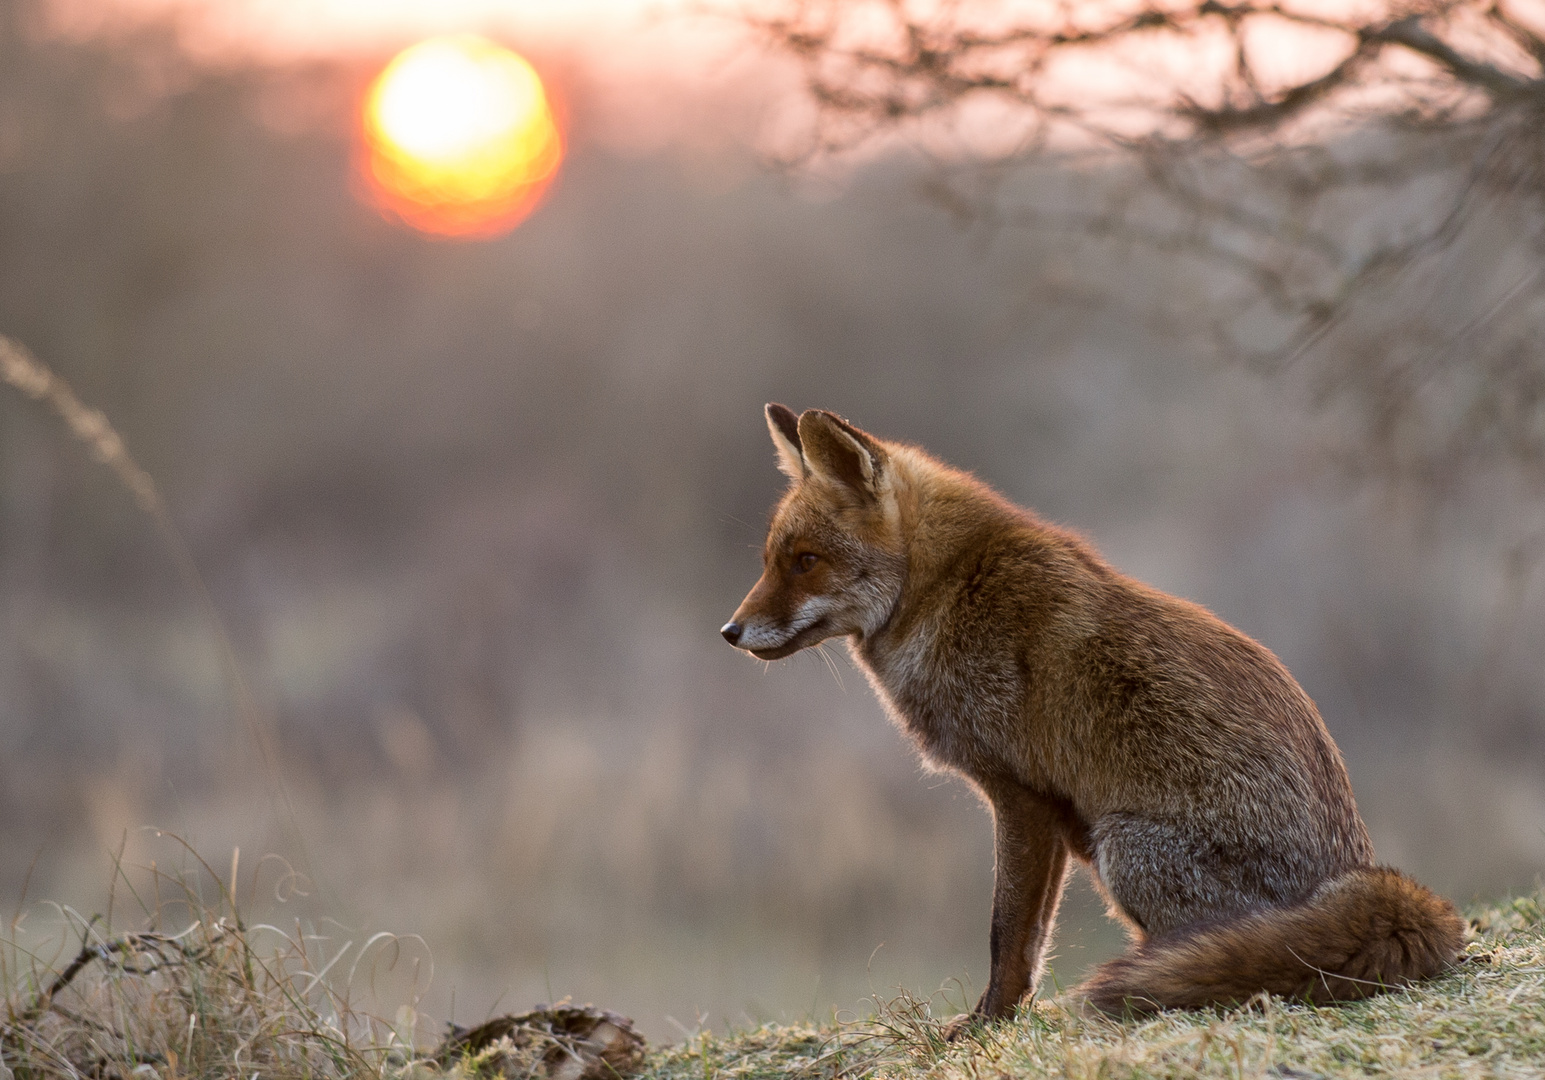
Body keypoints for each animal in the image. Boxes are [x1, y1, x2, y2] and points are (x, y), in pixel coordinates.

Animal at [716, 404, 1464, 1019]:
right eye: (770, 560)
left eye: (805, 561)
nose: (730, 631)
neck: (944, 591)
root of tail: (1356, 878)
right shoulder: (1049, 811)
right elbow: (1028, 938)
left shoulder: (1019, 795)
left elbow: (1007, 933)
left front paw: (987, 1024)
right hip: (1098, 840)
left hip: (1123, 846)